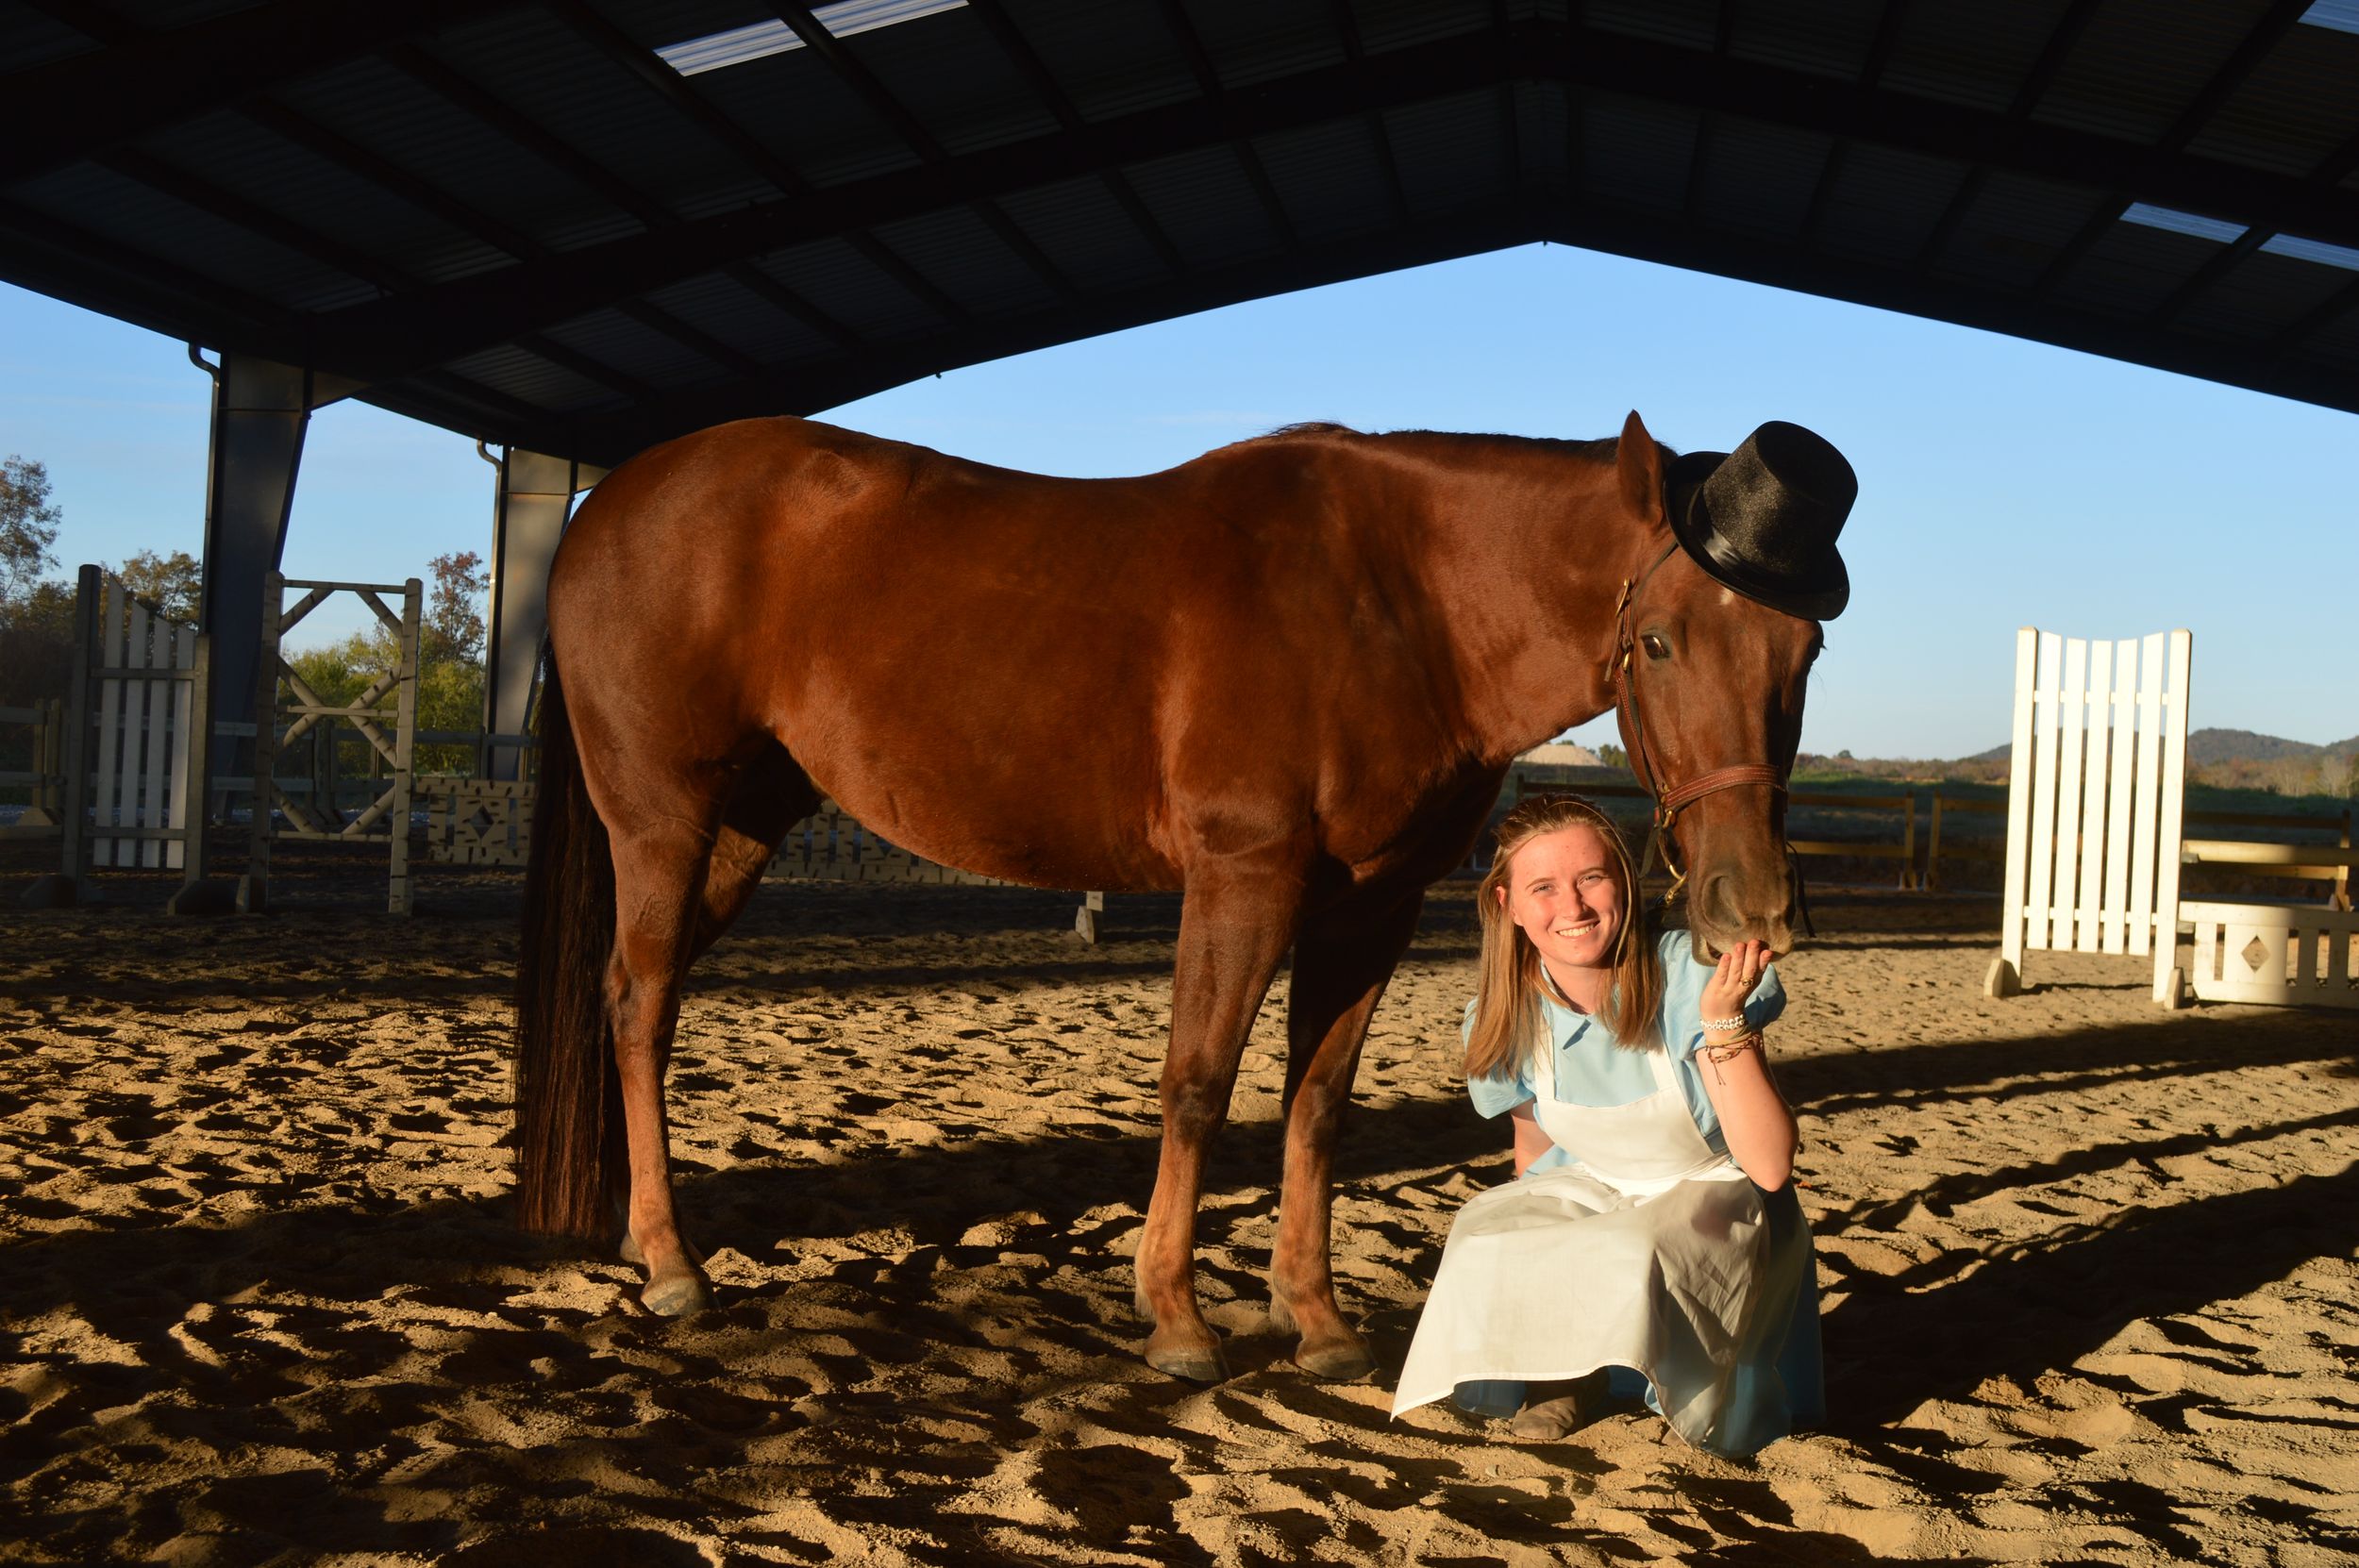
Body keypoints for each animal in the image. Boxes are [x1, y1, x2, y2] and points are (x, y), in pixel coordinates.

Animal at [513, 409, 1822, 1383]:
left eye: (1802, 651)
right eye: (1658, 641)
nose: (1748, 903)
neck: (1399, 594)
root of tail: (605, 507)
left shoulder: (1369, 907)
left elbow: (1315, 1107)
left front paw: (1318, 1321)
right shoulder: (1243, 878)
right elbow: (1196, 1083)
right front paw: (1179, 1320)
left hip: (740, 829)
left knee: (636, 997)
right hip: (664, 822)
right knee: (640, 1005)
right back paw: (671, 1264)